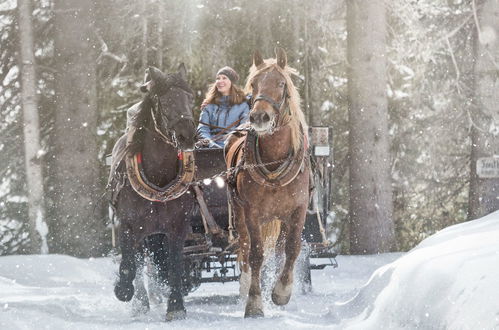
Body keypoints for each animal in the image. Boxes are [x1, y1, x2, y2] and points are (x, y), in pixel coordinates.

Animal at [109, 63, 197, 320]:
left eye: (190, 98)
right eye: (164, 101)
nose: (188, 136)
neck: (159, 178)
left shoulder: (178, 227)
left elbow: (175, 264)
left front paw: (176, 306)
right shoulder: (127, 226)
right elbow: (129, 264)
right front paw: (123, 290)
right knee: (138, 262)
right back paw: (140, 302)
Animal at [226, 48, 308, 318]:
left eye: (281, 84)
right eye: (253, 84)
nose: (259, 116)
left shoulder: (298, 209)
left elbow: (292, 248)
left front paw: (281, 292)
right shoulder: (252, 212)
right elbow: (255, 255)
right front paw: (254, 302)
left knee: (280, 250)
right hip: (239, 213)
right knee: (244, 248)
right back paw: (246, 287)